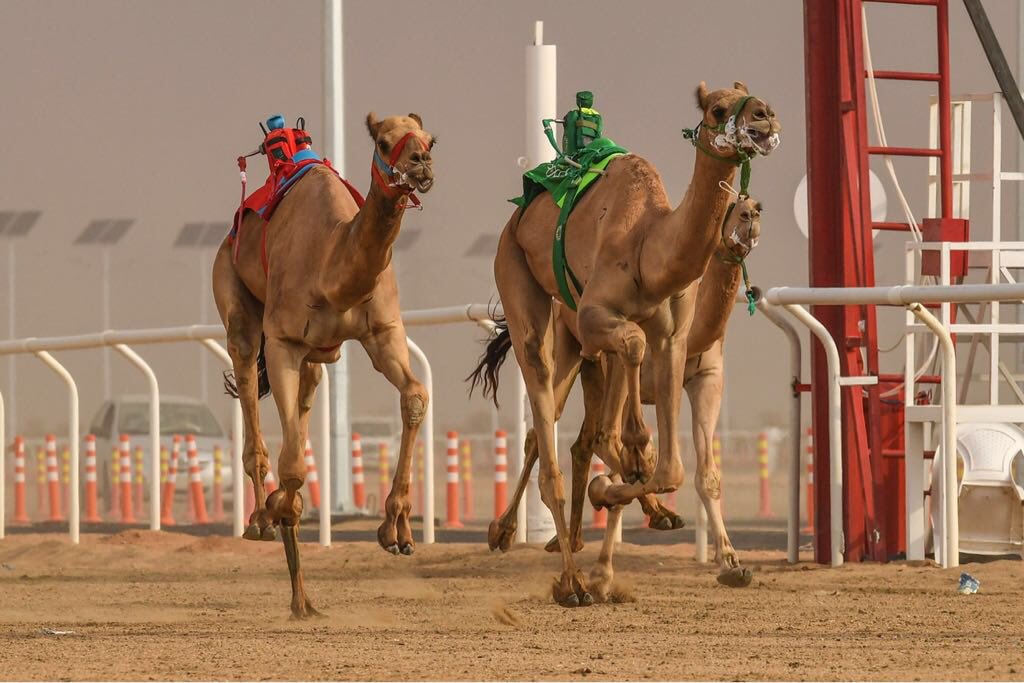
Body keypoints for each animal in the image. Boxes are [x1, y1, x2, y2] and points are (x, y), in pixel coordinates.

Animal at [214, 113, 438, 618]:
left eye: (431, 139)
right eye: (384, 141)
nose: (421, 164)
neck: (333, 263)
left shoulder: (383, 333)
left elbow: (415, 396)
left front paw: (396, 528)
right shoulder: (283, 341)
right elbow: (293, 462)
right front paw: (276, 504)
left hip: (317, 360)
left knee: (306, 397)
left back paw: (303, 600)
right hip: (234, 295)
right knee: (248, 382)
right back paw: (261, 518)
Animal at [468, 82, 778, 606]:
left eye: (751, 97)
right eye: (717, 109)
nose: (765, 116)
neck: (647, 251)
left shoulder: (676, 342)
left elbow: (677, 469)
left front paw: (727, 560)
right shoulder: (596, 317)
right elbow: (630, 349)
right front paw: (631, 458)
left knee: (576, 439)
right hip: (522, 281)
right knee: (545, 425)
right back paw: (560, 573)